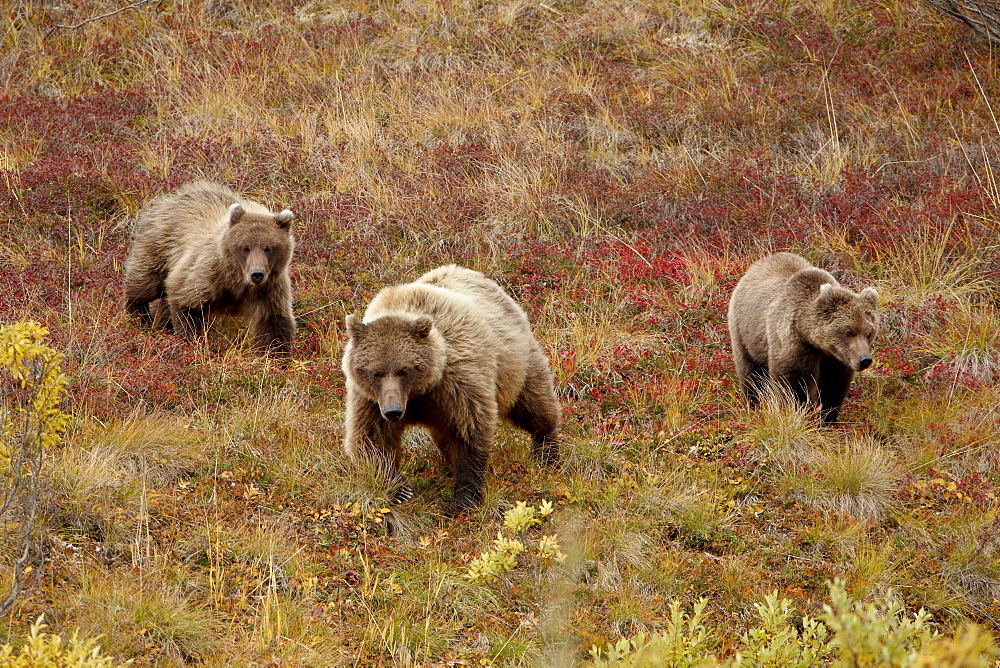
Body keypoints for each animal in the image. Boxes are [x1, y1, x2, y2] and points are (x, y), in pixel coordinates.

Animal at [123, 177, 294, 354]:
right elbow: (186, 304)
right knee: (145, 283)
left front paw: (275, 356)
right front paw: (191, 341)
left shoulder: (270, 290)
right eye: (245, 247)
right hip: (160, 245)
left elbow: (273, 325)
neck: (238, 284)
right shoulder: (207, 275)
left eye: (269, 248)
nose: (257, 274)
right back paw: (138, 316)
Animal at [342, 264, 564, 508]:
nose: (393, 411)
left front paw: (464, 498)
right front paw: (400, 489)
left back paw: (548, 453)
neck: (420, 391)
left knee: (534, 404)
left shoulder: (457, 383)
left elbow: (469, 432)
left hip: (516, 362)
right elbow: (370, 438)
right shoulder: (370, 398)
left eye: (404, 370)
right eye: (376, 372)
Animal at [728, 250, 876, 422]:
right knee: (751, 373)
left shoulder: (837, 358)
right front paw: (797, 412)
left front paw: (826, 417)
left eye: (869, 333)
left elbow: (833, 384)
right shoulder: (794, 342)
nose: (865, 359)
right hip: (744, 332)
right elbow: (793, 382)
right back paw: (755, 404)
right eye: (849, 332)